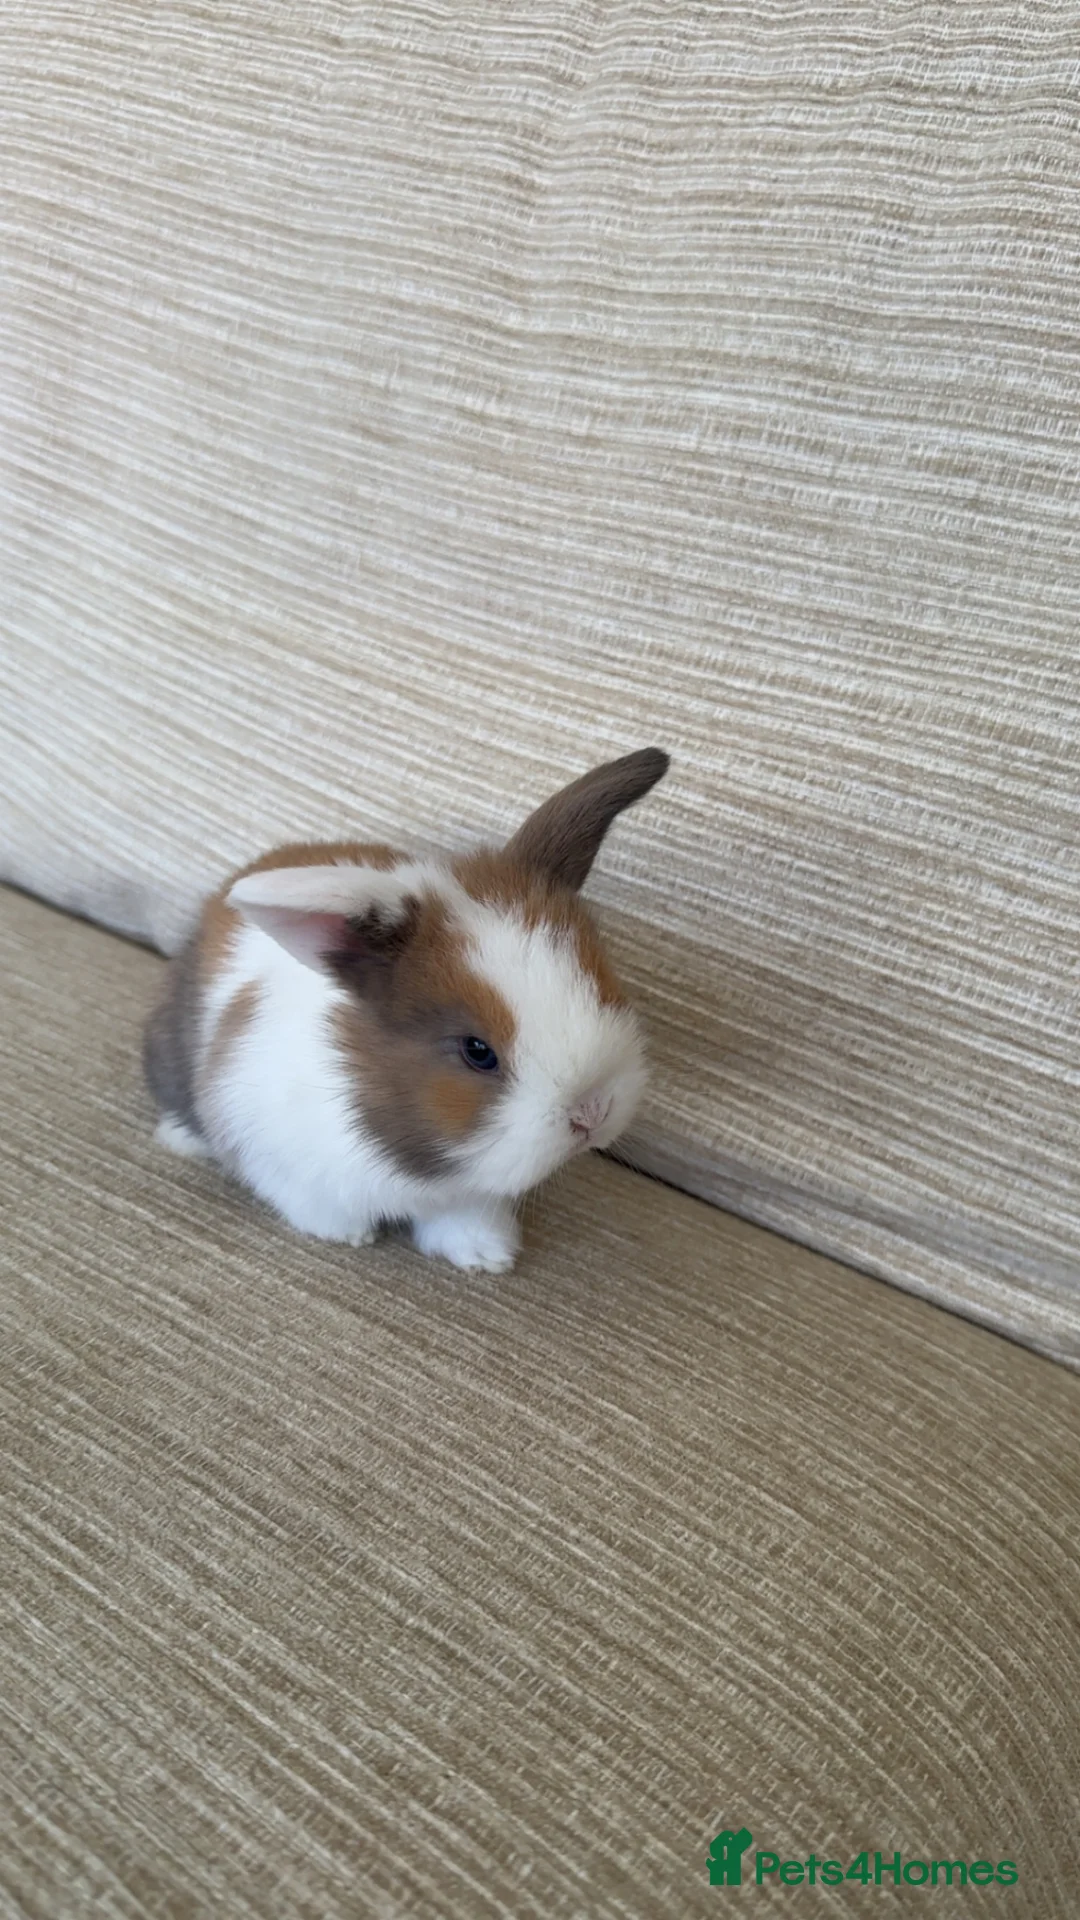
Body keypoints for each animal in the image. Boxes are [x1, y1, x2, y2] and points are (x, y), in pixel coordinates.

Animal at [143, 747, 669, 1272]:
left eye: (603, 988)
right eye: (477, 1051)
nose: (592, 1114)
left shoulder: (468, 1193)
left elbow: (463, 1218)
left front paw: (487, 1256)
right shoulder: (275, 1152)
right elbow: (312, 1204)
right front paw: (350, 1236)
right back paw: (181, 1138)